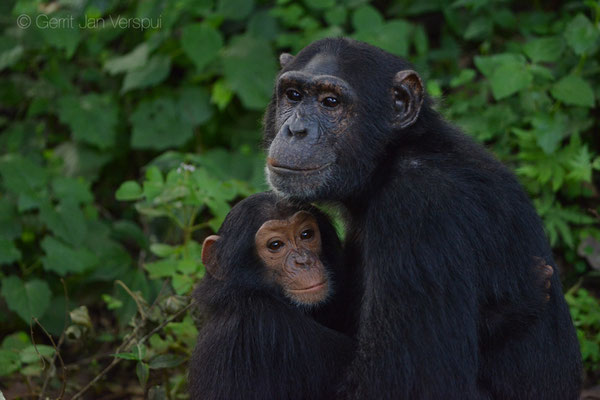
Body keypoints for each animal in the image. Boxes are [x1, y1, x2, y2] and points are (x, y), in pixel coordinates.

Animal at [264, 38, 580, 400]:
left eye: (330, 102)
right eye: (293, 95)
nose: (296, 129)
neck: (390, 159)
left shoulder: (419, 211)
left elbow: (408, 384)